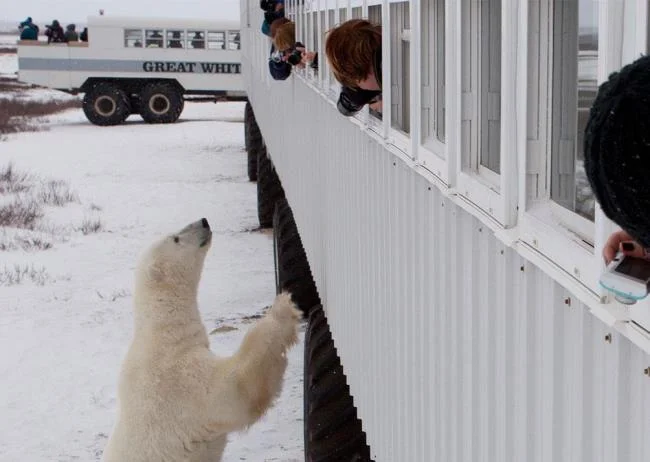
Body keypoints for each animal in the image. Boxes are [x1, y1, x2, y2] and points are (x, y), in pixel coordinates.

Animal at [101, 218, 302, 462]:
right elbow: (233, 390)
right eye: (176, 238)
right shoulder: (178, 381)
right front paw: (283, 308)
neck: (164, 334)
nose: (203, 221)